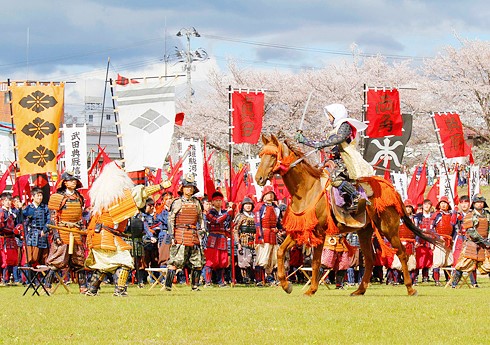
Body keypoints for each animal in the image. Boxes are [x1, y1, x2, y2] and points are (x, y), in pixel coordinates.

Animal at [255, 134, 442, 296]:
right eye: (261, 154)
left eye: (273, 155)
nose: (258, 178)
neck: (307, 190)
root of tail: (392, 190)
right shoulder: (301, 229)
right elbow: (280, 251)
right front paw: (286, 285)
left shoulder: (319, 232)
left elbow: (316, 262)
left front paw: (311, 289)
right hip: (364, 231)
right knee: (370, 259)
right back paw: (360, 290)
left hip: (388, 228)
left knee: (402, 253)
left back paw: (410, 288)